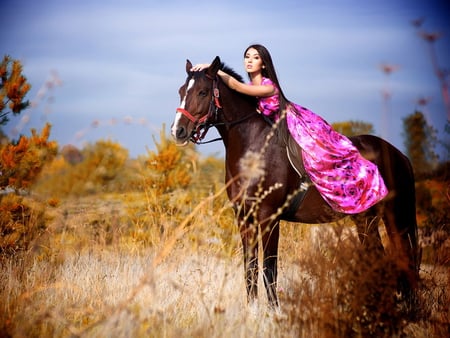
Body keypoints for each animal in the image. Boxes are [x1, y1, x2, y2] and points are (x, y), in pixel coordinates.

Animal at [171, 56, 420, 308]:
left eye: (202, 92)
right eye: (181, 90)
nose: (178, 131)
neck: (255, 148)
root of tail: (399, 155)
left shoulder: (269, 218)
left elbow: (269, 268)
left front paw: (274, 311)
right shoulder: (244, 218)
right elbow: (250, 268)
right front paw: (253, 310)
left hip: (388, 218)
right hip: (366, 219)